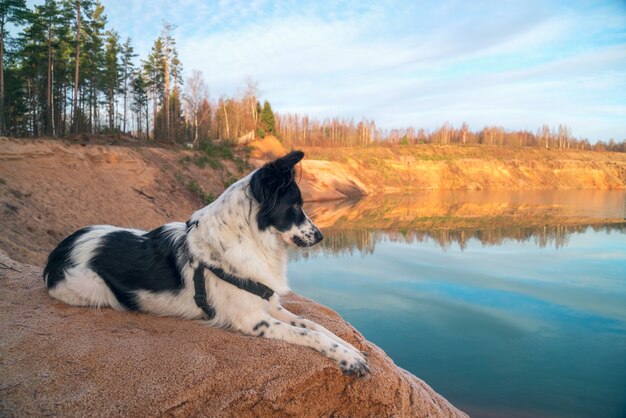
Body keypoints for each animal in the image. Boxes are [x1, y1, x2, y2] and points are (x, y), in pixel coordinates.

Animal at [44, 152, 370, 378]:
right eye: (296, 207)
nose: (321, 236)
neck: (249, 239)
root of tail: (61, 248)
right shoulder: (254, 320)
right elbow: (310, 333)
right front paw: (350, 359)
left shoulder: (270, 305)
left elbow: (314, 324)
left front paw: (350, 348)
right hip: (92, 289)